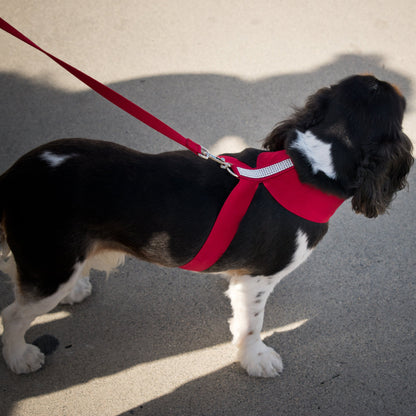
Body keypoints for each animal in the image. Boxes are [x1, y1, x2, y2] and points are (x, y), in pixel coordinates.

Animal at [0, 74, 412, 376]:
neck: (307, 166)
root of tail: (12, 177)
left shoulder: (243, 279)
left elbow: (239, 310)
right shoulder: (258, 279)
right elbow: (253, 324)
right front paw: (256, 359)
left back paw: (76, 289)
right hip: (48, 265)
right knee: (13, 315)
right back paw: (21, 357)